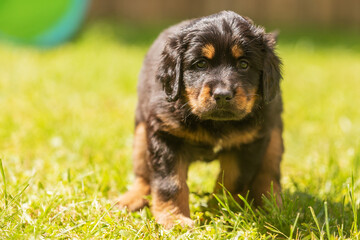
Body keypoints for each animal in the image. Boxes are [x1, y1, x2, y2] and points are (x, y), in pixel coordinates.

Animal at [118, 10, 284, 229]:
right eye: (201, 64)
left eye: (244, 64)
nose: (222, 95)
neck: (214, 123)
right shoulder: (165, 135)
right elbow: (170, 182)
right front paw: (175, 219)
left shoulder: (248, 142)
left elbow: (232, 180)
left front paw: (222, 212)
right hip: (141, 132)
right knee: (143, 175)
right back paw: (129, 200)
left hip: (274, 134)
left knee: (269, 173)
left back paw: (271, 206)